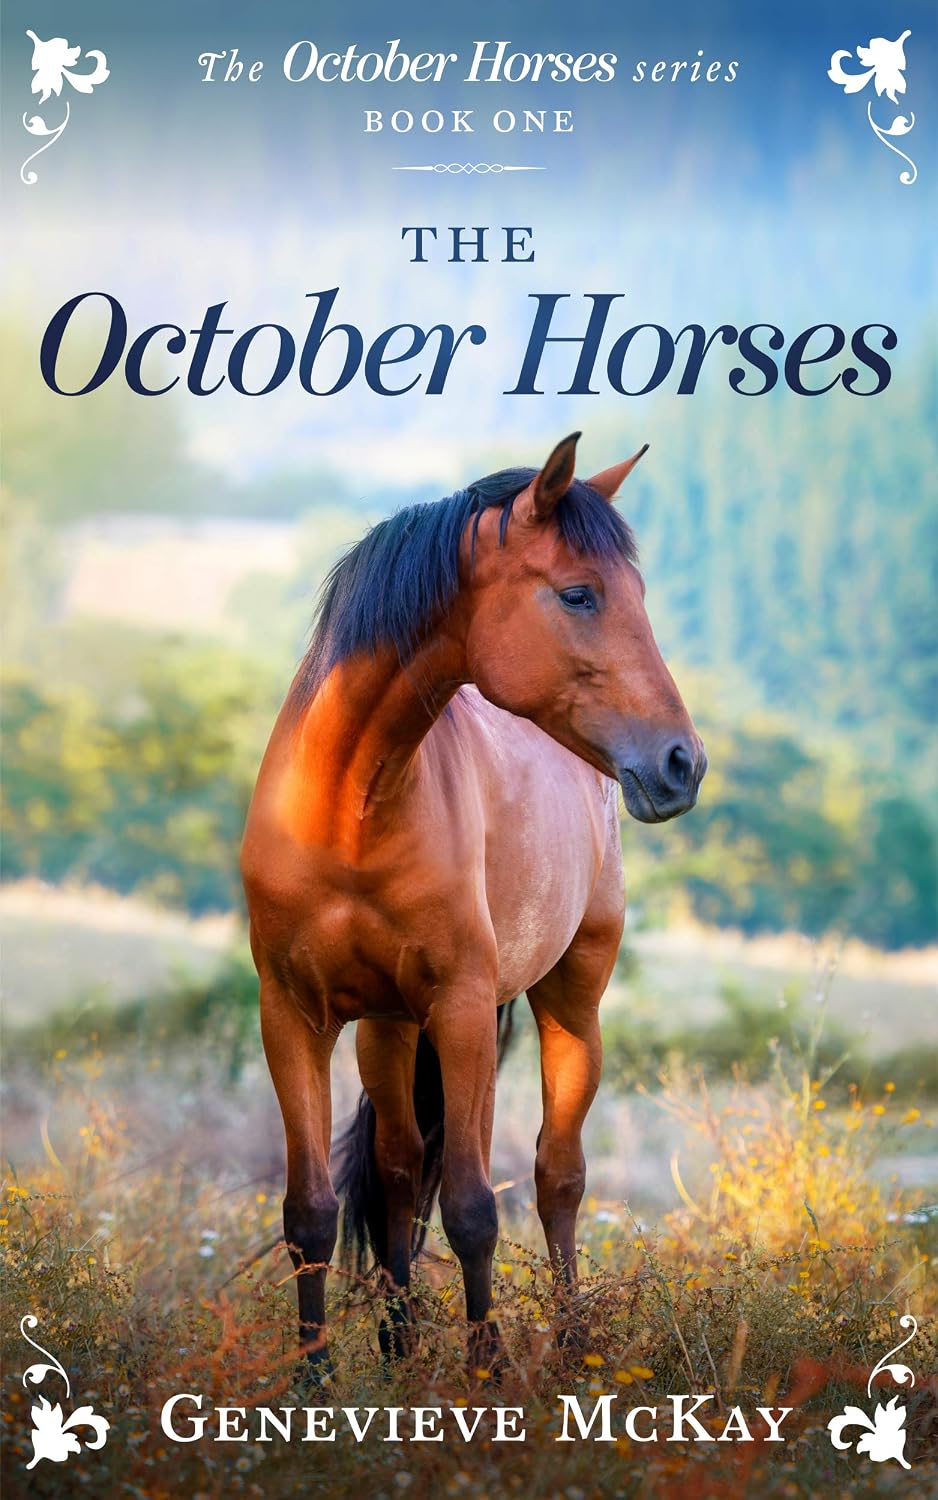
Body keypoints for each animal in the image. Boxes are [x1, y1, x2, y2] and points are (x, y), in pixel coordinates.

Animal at [240, 432, 706, 1378]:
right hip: (387, 1028)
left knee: (557, 1176)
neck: (350, 809)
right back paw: (397, 1348)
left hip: (569, 1000)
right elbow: (311, 1211)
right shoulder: (292, 1014)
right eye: (578, 593)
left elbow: (471, 1211)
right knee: (394, 1170)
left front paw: (484, 1376)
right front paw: (314, 1383)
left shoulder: (459, 1009)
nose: (683, 763)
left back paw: (570, 1348)